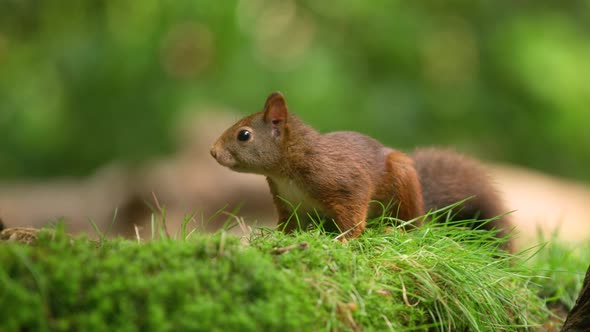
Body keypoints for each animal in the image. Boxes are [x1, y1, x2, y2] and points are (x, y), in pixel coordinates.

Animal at [212, 92, 512, 248]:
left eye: (244, 135)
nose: (213, 151)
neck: (285, 173)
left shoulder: (344, 182)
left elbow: (354, 214)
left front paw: (343, 240)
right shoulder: (288, 204)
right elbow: (290, 226)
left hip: (403, 182)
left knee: (413, 226)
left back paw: (396, 230)